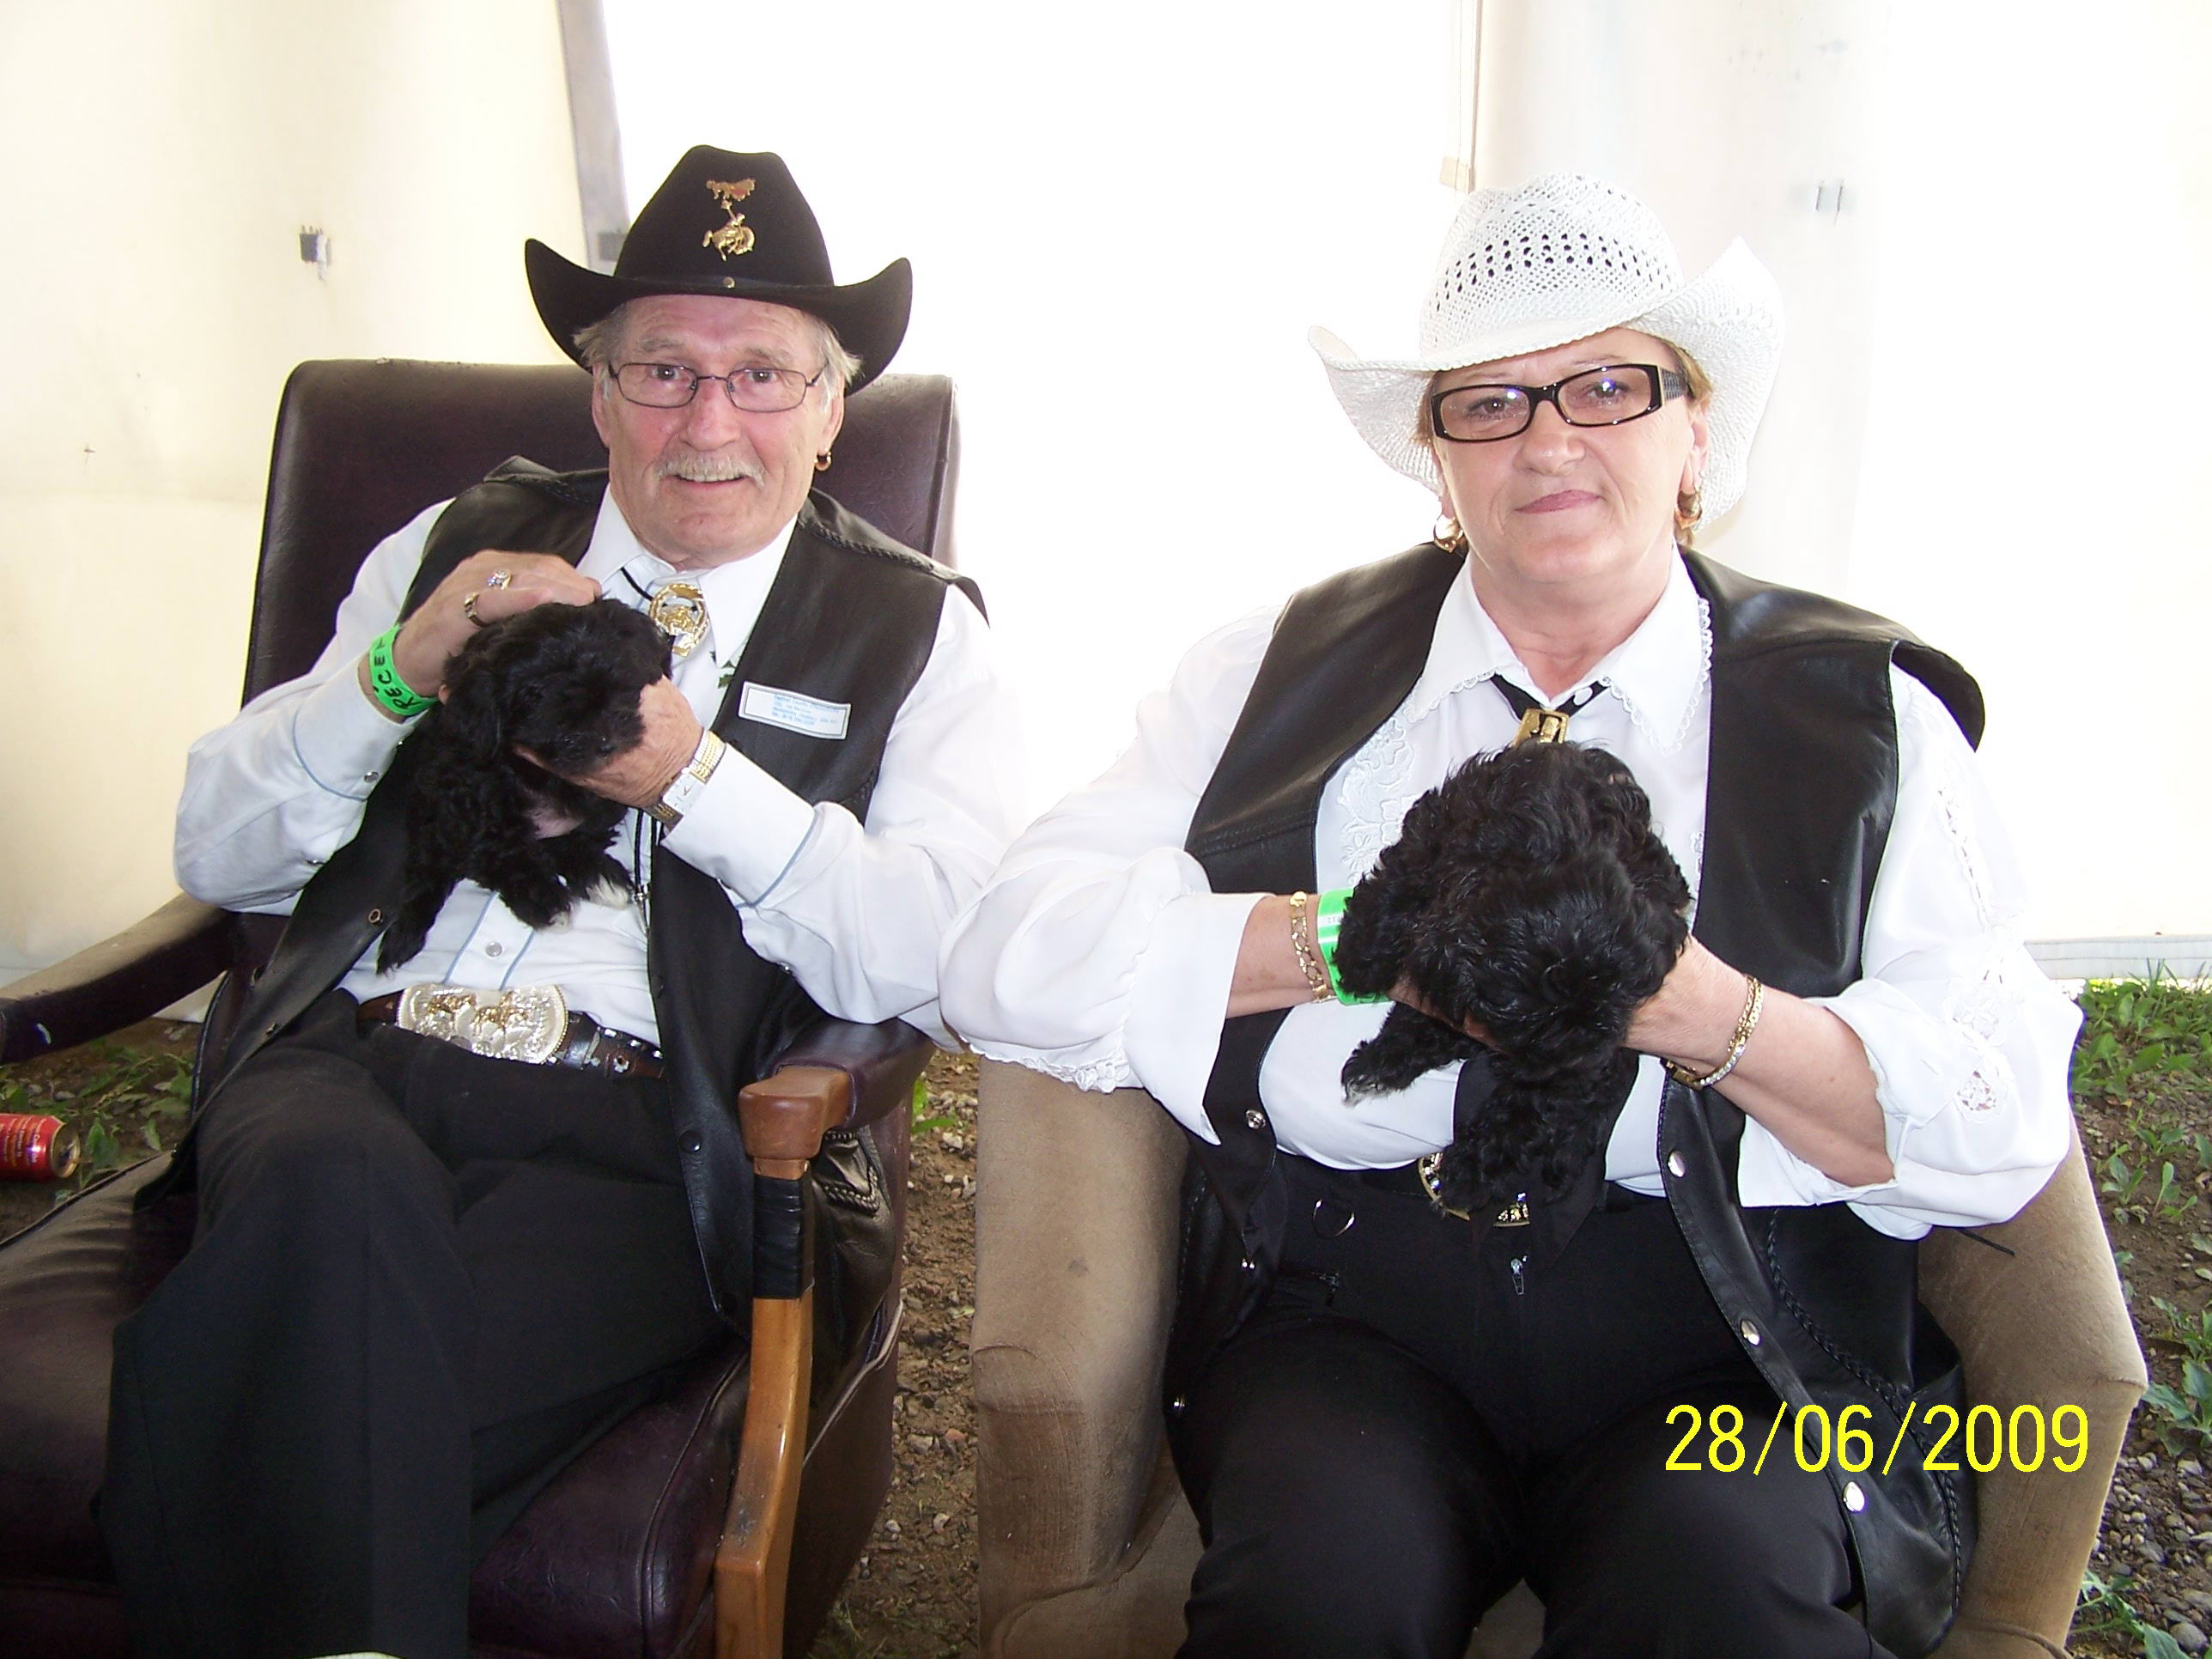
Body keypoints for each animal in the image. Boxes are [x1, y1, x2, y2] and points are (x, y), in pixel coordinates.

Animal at [379, 599, 674, 971]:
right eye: (534, 696)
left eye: (617, 677)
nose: (605, 740)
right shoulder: (469, 780)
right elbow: (498, 846)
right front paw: (545, 899)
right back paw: (545, 901)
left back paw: (600, 876)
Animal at [1330, 739, 1692, 1214]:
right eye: (1527, 1018)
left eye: (1616, 999)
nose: (1581, 1051)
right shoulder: (1441, 828)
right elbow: (1398, 880)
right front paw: (1360, 955)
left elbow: (1528, 1109)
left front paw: (1469, 1171)